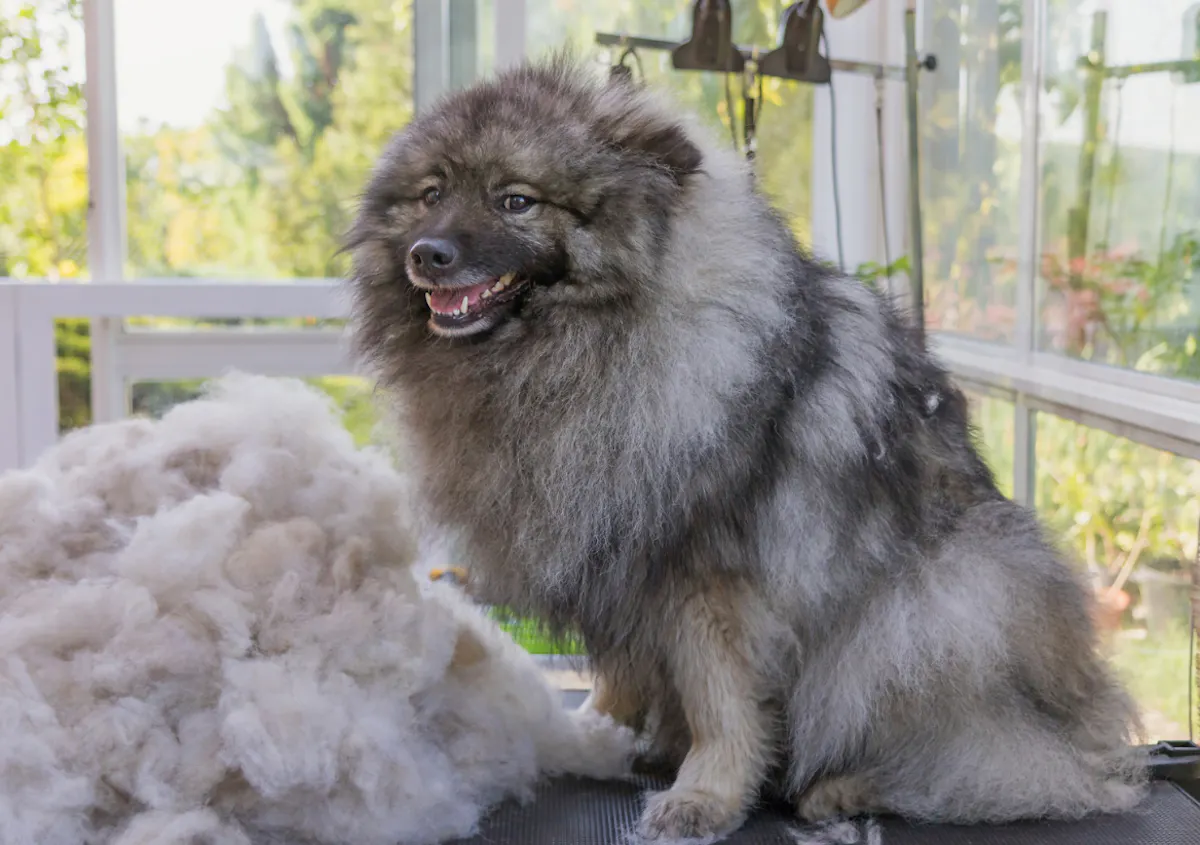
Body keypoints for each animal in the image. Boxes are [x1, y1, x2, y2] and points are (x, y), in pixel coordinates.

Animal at [344, 54, 1147, 843]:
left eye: (516, 201)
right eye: (431, 194)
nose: (427, 253)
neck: (577, 350)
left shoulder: (710, 575)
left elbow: (719, 699)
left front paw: (705, 793)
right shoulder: (620, 560)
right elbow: (624, 671)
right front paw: (600, 735)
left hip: (938, 603)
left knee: (993, 761)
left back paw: (849, 787)